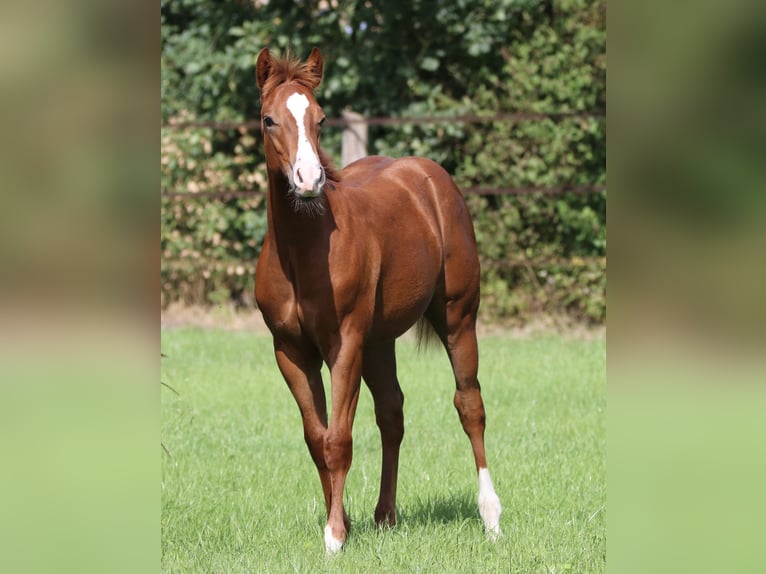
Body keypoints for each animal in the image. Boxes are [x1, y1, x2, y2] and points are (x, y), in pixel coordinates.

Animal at [254, 47, 501, 553]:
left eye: (320, 118)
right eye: (269, 119)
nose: (309, 180)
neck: (302, 251)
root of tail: (429, 175)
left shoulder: (344, 344)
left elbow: (338, 439)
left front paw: (334, 536)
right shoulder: (290, 352)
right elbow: (317, 438)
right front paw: (343, 522)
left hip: (457, 318)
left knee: (470, 406)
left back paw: (491, 517)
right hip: (379, 341)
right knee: (392, 413)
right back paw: (385, 515)